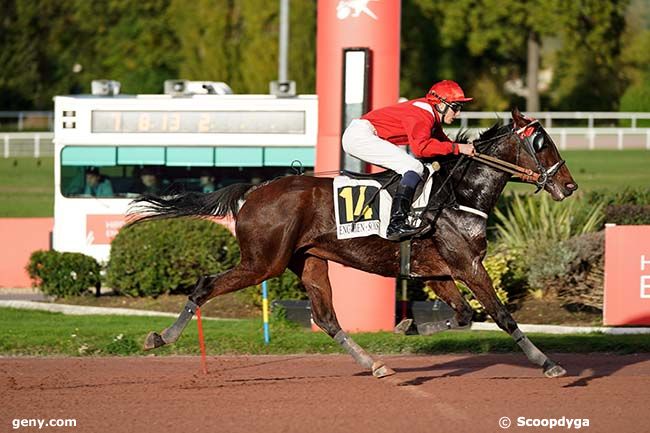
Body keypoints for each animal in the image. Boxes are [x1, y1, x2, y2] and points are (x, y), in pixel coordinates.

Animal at [132, 109, 576, 378]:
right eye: (542, 144)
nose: (569, 186)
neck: (458, 194)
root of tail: (255, 190)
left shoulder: (439, 272)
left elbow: (464, 314)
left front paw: (411, 326)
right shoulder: (467, 265)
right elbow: (502, 315)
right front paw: (547, 362)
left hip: (308, 261)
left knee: (327, 318)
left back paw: (374, 363)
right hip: (263, 263)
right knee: (205, 285)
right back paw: (161, 337)